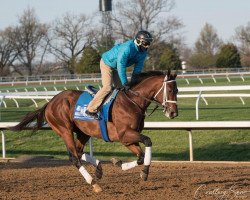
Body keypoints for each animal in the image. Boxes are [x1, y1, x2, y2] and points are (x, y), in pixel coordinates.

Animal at [10, 70, 178, 192]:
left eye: (177, 90)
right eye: (170, 90)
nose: (173, 113)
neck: (132, 102)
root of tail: (50, 102)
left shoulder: (126, 139)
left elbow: (140, 156)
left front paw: (119, 163)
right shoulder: (124, 134)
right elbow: (148, 141)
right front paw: (145, 173)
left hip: (83, 132)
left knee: (78, 152)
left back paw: (98, 169)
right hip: (64, 130)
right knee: (73, 157)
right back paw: (93, 182)